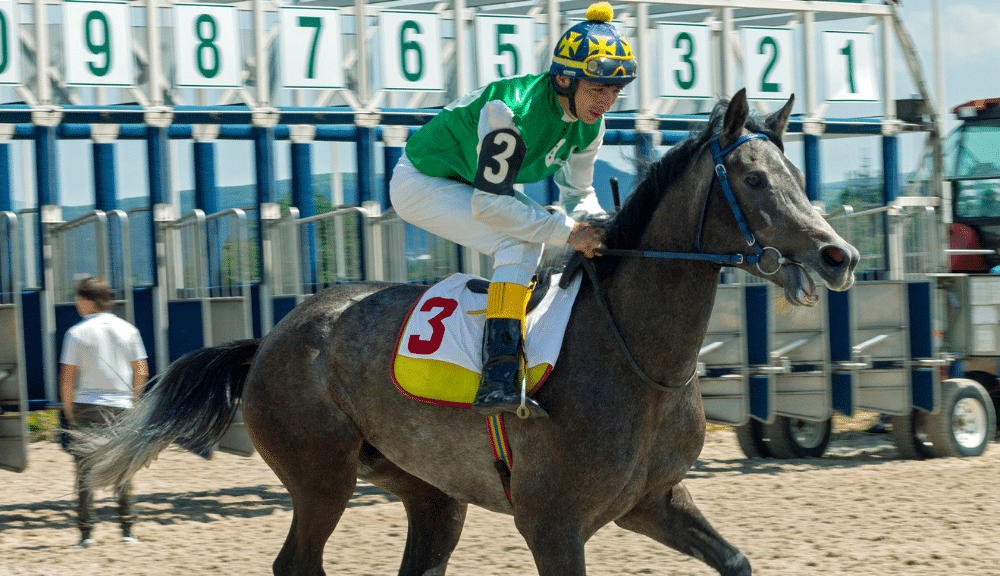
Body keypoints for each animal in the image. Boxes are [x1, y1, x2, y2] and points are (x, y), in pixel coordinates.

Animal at [80, 90, 860, 576]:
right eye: (754, 180)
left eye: (797, 174)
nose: (838, 256)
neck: (639, 359)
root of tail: (271, 338)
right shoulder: (552, 524)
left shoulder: (652, 502)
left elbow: (736, 559)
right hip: (321, 476)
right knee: (296, 562)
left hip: (429, 491)